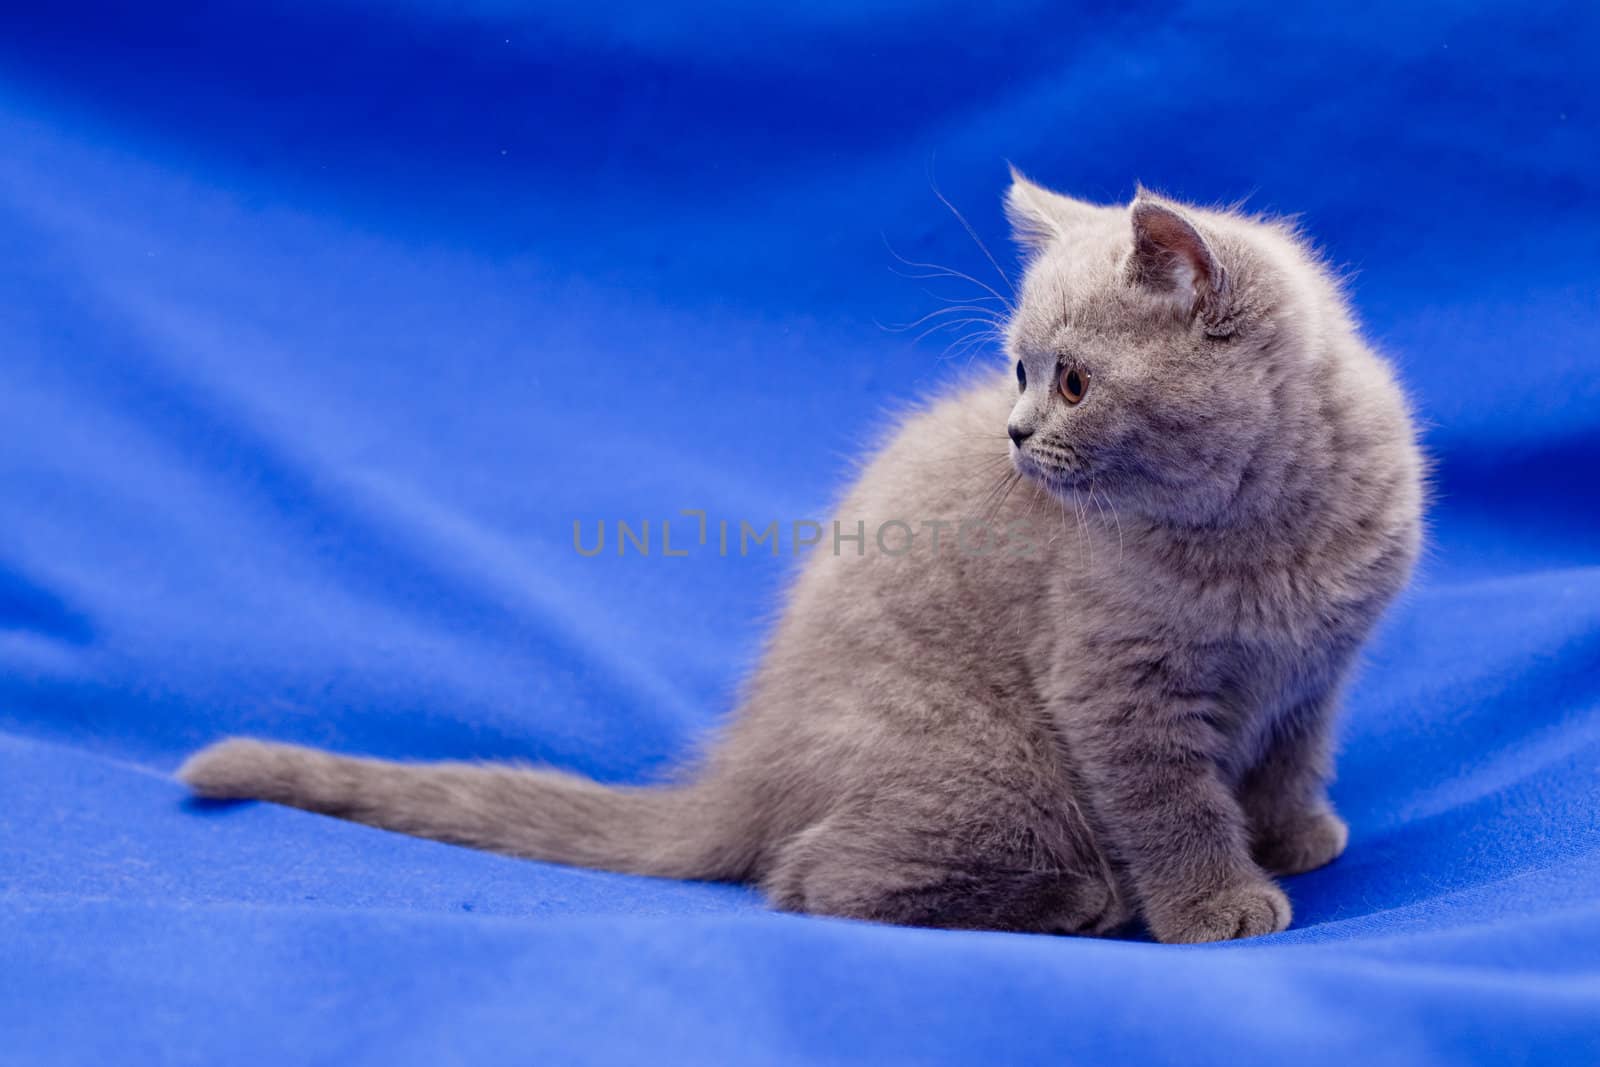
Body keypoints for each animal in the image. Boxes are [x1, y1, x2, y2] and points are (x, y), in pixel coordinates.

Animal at [181, 173, 1420, 940]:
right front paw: (1217, 900)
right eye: (1019, 370)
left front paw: (1296, 835)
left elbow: (1288, 756)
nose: (1014, 434)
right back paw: (1079, 897)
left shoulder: (1317, 671)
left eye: (1071, 381)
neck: (1255, 535)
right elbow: (1172, 804)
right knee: (815, 877)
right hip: (994, 766)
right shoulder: (1115, 689)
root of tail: (753, 758)